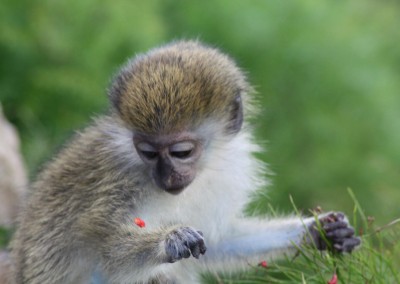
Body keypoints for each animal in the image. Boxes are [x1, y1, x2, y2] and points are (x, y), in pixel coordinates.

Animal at [9, 40, 360, 284]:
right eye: (148, 153)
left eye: (181, 152)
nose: (167, 176)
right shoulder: (119, 181)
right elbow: (106, 254)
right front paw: (169, 241)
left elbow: (217, 243)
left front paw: (318, 231)